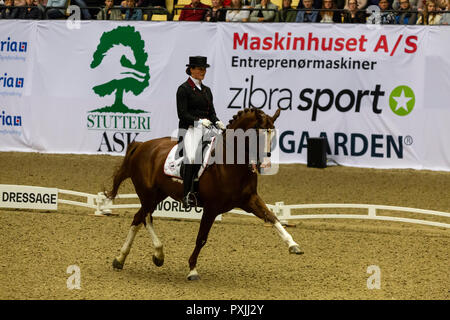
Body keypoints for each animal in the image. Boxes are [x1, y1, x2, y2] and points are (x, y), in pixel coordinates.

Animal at [106, 108, 302, 280]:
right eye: (258, 134)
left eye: (273, 135)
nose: (266, 164)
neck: (230, 164)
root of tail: (142, 145)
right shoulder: (211, 208)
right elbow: (201, 239)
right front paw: (192, 270)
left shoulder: (250, 200)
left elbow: (272, 217)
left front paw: (293, 245)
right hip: (148, 195)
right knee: (142, 218)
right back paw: (131, 257)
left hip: (158, 195)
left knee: (142, 218)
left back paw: (140, 257)